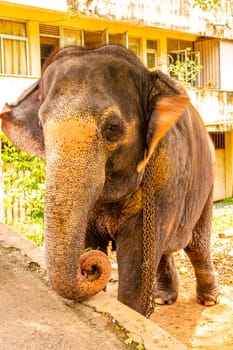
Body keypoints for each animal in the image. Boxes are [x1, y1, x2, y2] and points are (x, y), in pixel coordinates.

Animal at [0, 44, 218, 318]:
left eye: (113, 128)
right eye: (41, 124)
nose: (89, 266)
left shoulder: (165, 176)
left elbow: (136, 259)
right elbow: (91, 240)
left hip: (207, 183)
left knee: (196, 246)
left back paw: (208, 300)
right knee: (165, 249)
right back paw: (162, 299)